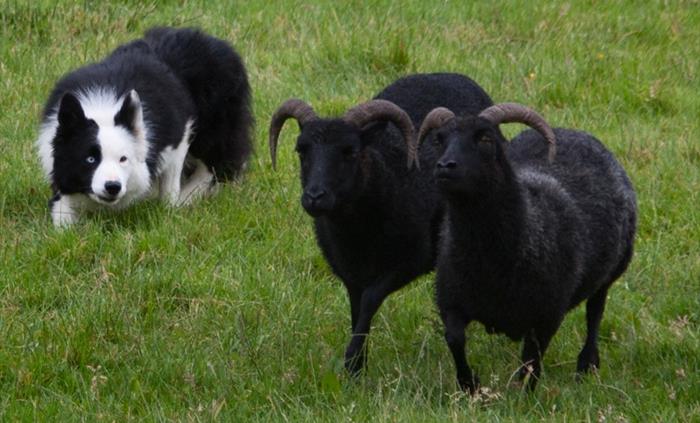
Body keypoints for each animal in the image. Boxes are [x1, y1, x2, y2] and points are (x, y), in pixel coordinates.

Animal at [268, 73, 495, 375]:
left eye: (350, 151)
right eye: (301, 151)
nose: (314, 197)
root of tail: (454, 74)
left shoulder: (412, 260)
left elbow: (370, 300)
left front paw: (351, 358)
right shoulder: (349, 272)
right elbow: (356, 310)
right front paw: (357, 366)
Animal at [416, 103, 637, 392]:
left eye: (486, 139)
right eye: (439, 139)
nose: (445, 166)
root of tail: (573, 132)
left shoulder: (547, 314)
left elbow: (531, 358)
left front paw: (524, 393)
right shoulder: (450, 299)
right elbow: (455, 339)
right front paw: (470, 385)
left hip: (610, 272)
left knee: (595, 312)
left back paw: (587, 365)